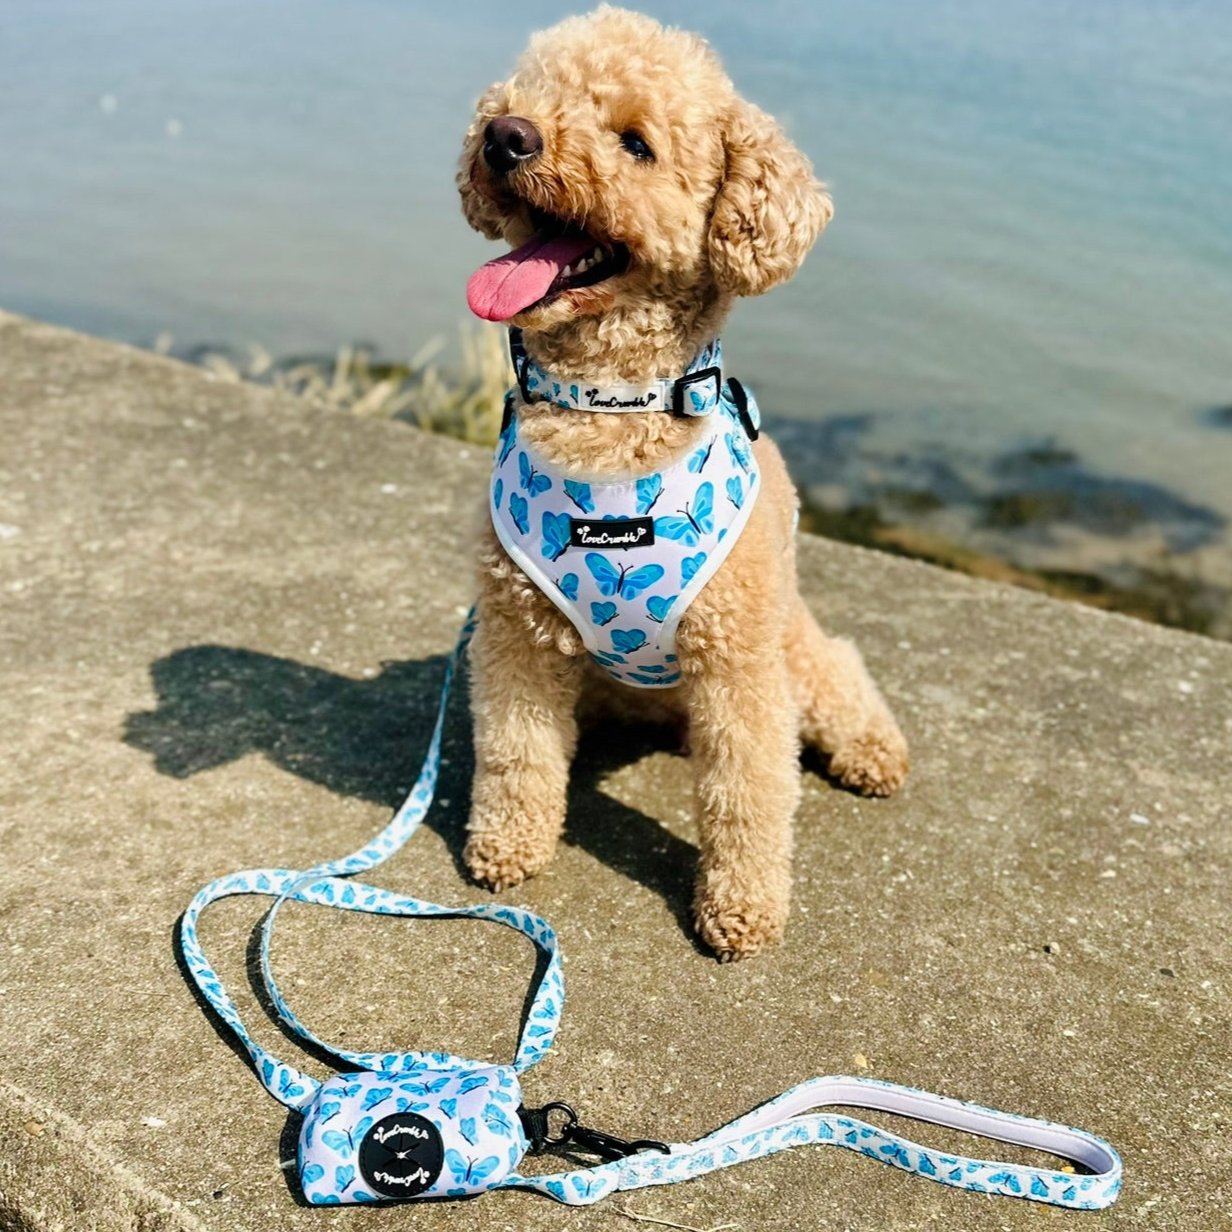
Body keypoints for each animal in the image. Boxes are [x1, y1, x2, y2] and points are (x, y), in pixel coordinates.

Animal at [458, 4, 911, 956]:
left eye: (636, 143)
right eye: (534, 96)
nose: (506, 136)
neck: (609, 405)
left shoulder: (739, 666)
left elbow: (749, 794)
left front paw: (742, 911)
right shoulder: (516, 639)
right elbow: (516, 754)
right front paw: (507, 849)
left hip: (787, 644)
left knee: (839, 668)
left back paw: (873, 751)